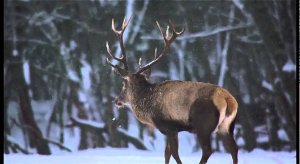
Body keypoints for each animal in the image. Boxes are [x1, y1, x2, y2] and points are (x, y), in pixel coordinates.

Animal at [105, 17, 239, 163]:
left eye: (124, 84)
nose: (117, 100)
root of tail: (228, 100)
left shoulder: (169, 127)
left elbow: (173, 153)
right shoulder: (171, 130)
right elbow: (167, 153)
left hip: (203, 125)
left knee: (208, 150)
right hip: (226, 126)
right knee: (234, 148)